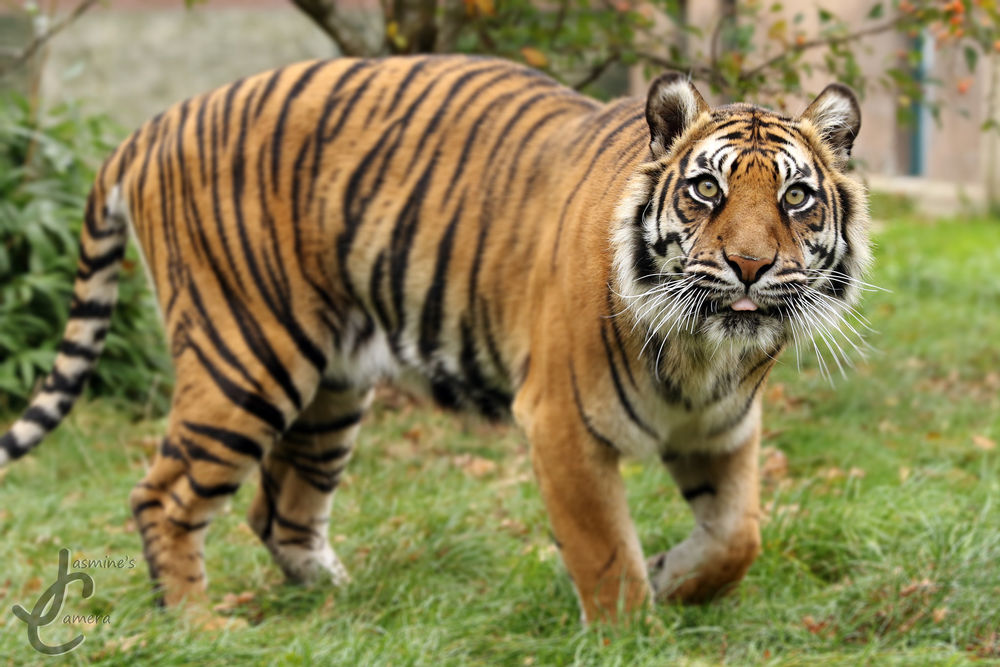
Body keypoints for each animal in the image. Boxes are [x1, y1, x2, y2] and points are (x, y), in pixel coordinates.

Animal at [0, 55, 870, 625]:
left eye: (796, 197)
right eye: (706, 189)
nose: (751, 266)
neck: (705, 351)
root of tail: (151, 126)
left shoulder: (723, 426)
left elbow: (736, 537)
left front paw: (671, 576)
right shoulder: (561, 424)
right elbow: (604, 554)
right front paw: (633, 625)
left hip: (331, 387)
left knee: (280, 510)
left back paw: (345, 607)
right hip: (244, 357)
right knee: (166, 495)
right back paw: (199, 625)